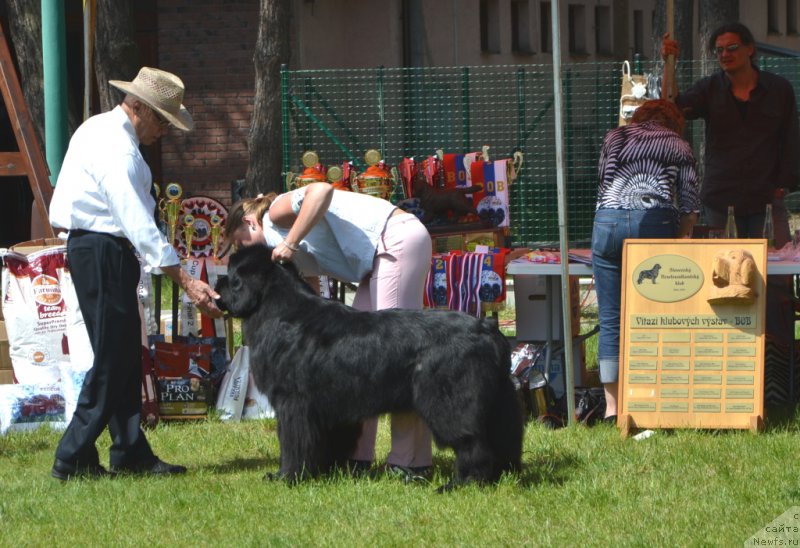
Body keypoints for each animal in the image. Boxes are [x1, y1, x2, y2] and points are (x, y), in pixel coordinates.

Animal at [216, 244, 520, 488]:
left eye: (231, 274)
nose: (217, 281)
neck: (280, 310)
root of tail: (487, 328)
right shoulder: (330, 408)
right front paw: (327, 472)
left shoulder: (293, 403)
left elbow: (293, 443)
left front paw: (287, 476)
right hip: (498, 403)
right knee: (502, 439)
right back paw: (500, 476)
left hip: (450, 403)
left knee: (472, 442)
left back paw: (463, 482)